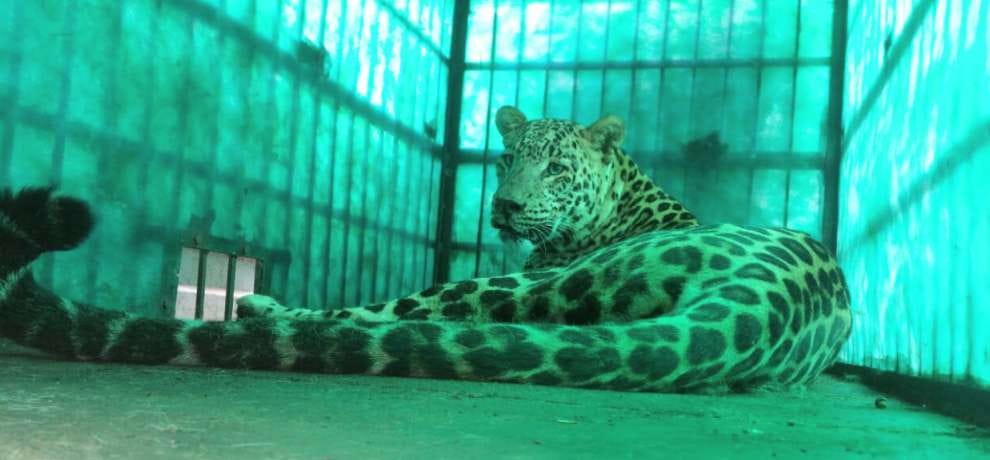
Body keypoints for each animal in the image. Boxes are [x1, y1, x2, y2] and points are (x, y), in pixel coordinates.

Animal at [0, 106, 852, 393]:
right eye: (506, 158)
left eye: (557, 166)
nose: (506, 205)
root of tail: (772, 301)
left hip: (511, 289)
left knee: (377, 314)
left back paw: (260, 304)